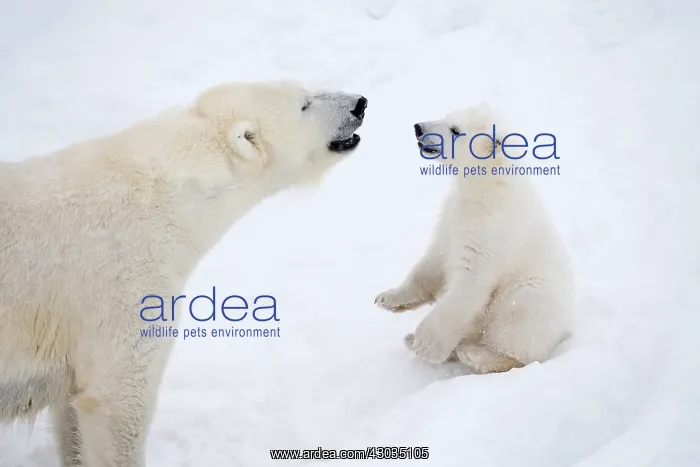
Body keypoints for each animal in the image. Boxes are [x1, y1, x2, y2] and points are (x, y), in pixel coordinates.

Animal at [0, 80, 367, 466]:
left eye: (307, 89)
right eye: (304, 104)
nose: (360, 104)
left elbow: (71, 411)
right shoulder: (123, 286)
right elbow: (118, 399)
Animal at [375, 103, 574, 374]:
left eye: (455, 130)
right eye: (446, 116)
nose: (418, 127)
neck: (487, 189)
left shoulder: (491, 230)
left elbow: (471, 281)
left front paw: (426, 340)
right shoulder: (451, 216)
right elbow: (434, 259)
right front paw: (388, 298)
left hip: (536, 297)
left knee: (520, 325)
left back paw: (474, 354)